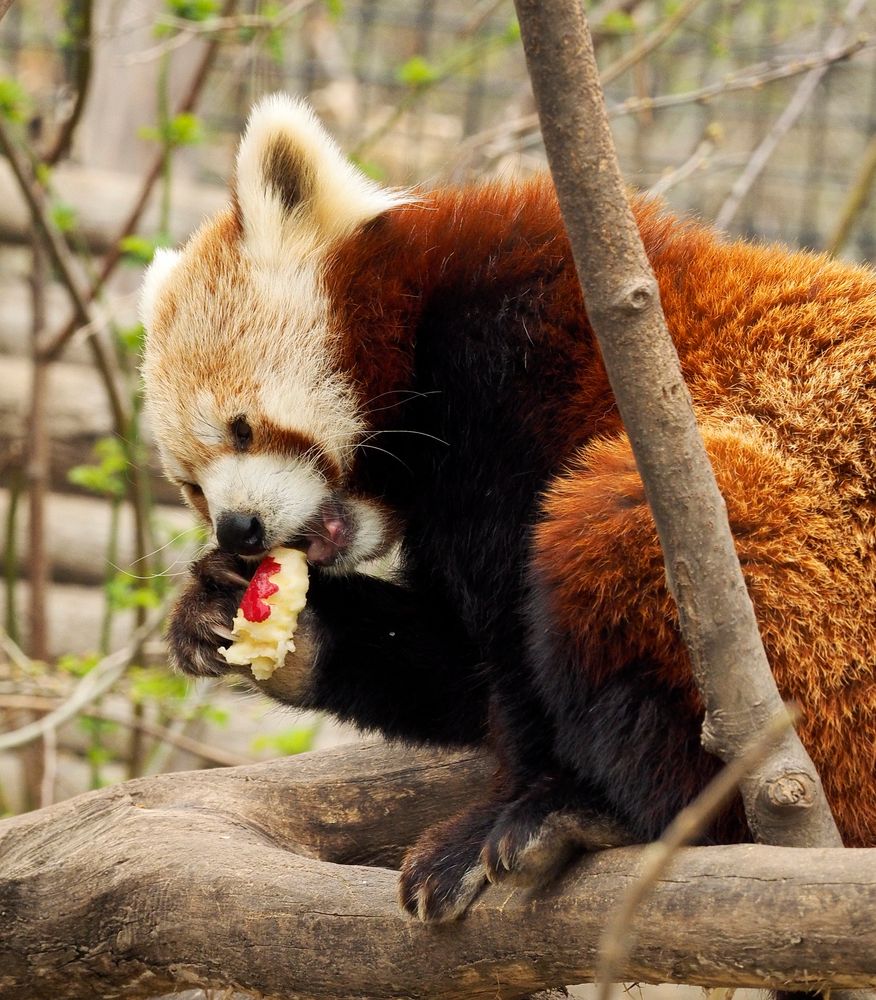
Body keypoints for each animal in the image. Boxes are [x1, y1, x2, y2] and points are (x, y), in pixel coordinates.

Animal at [142, 94, 876, 920]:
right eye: (190, 484)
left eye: (242, 427)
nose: (238, 528)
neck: (425, 325)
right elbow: (460, 662)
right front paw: (239, 614)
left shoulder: (509, 370)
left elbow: (513, 650)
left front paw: (497, 815)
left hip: (803, 604)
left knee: (610, 522)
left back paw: (596, 809)